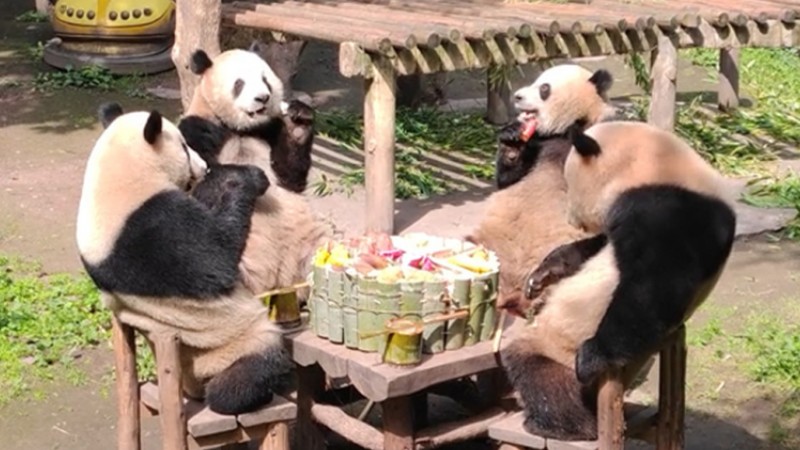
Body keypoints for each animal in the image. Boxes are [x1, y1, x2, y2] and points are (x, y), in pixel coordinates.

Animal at [74, 103, 294, 414]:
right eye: (183, 145)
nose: (203, 166)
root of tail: (194, 386)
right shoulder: (154, 227)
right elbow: (217, 256)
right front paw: (245, 179)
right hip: (239, 343)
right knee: (243, 377)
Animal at [177, 42, 332, 300]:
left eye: (265, 80)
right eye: (239, 83)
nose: (263, 98)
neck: (241, 128)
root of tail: (276, 281)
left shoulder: (267, 130)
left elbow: (291, 177)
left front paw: (298, 123)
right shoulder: (198, 130)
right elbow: (199, 189)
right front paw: (249, 177)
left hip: (306, 235)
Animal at [466, 63, 616, 316]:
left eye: (544, 88)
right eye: (536, 80)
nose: (517, 96)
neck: (568, 127)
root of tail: (512, 295)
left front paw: (547, 270)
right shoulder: (539, 143)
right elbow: (507, 180)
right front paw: (512, 138)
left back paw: (540, 292)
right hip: (490, 244)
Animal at [500, 119, 736, 440]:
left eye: (569, 184)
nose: (571, 219)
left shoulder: (664, 210)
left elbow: (654, 285)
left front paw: (592, 357)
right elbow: (594, 245)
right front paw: (542, 275)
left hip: (557, 345)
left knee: (538, 371)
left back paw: (562, 425)